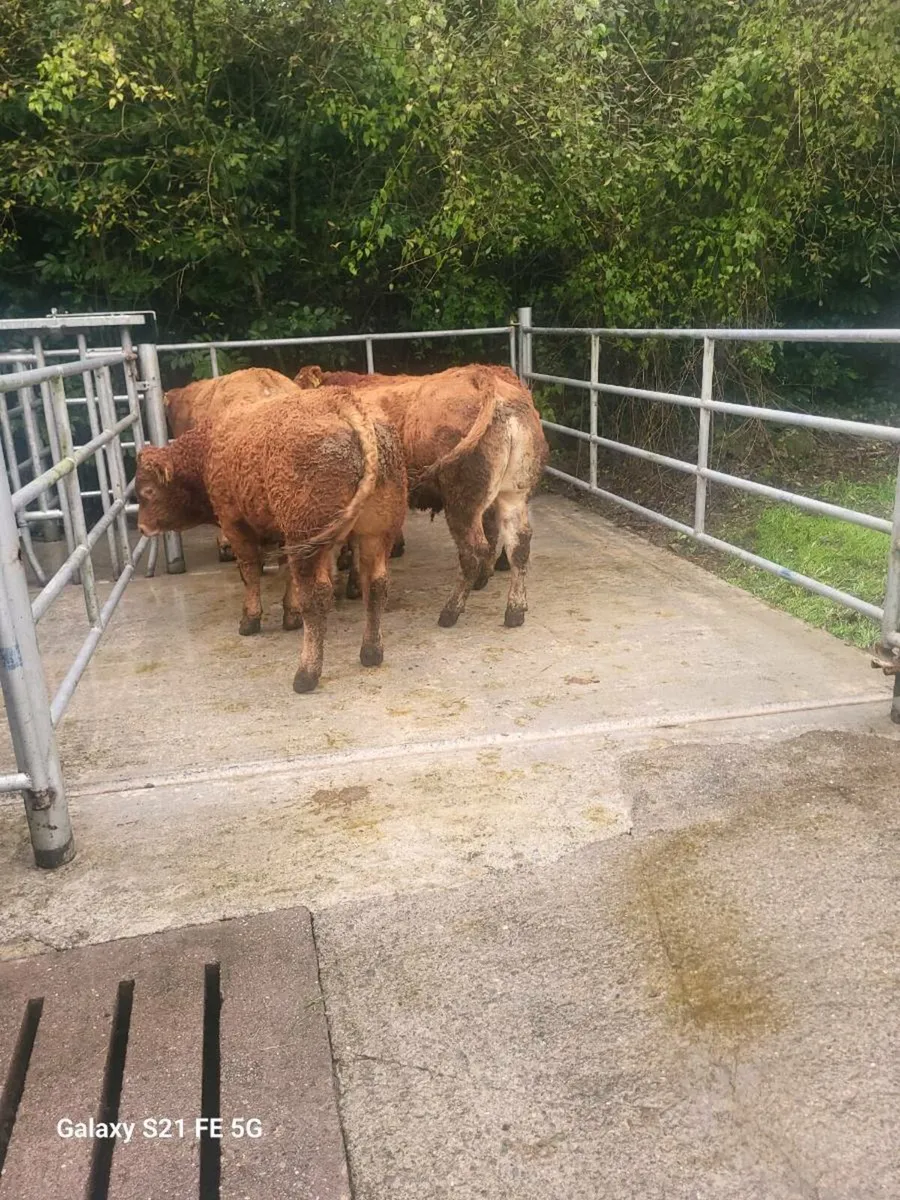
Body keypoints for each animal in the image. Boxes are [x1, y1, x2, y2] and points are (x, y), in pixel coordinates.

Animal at [136, 372, 407, 693]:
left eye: (147, 491)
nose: (141, 526)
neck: (214, 443)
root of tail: (345, 403)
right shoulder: (283, 532)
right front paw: (290, 614)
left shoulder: (235, 523)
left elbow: (250, 570)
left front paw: (250, 620)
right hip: (373, 536)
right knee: (375, 585)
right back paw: (371, 652)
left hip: (310, 538)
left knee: (317, 596)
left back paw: (306, 674)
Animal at [294, 364, 548, 628]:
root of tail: (484, 379)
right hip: (512, 494)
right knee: (518, 544)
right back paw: (515, 609)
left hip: (461, 502)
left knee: (474, 551)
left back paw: (451, 610)